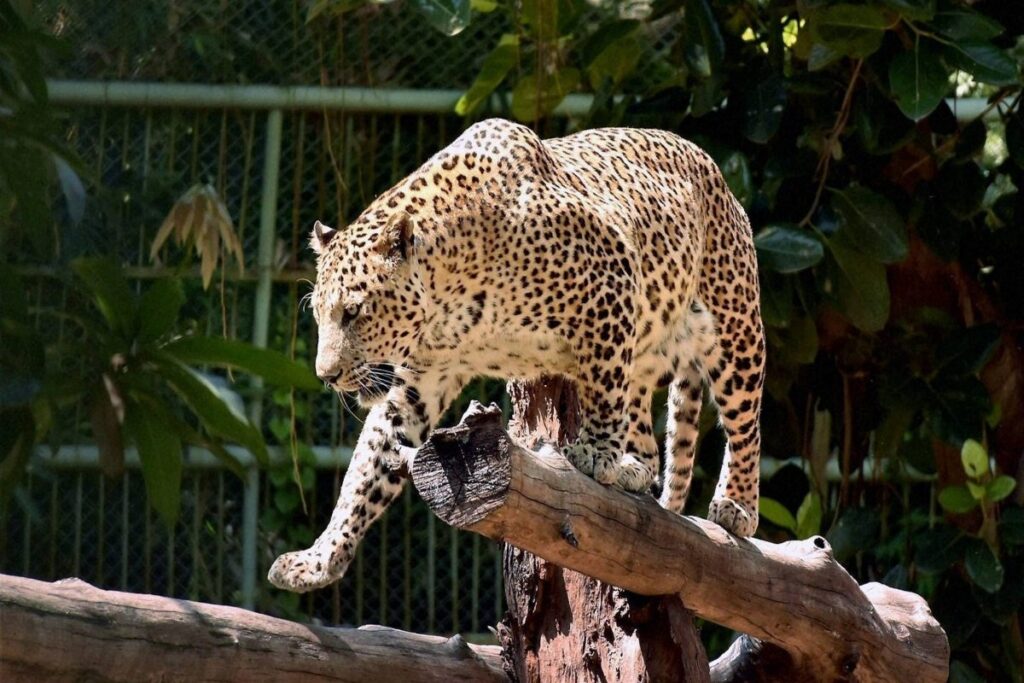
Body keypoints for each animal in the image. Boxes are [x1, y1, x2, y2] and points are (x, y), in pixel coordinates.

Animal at [268, 118, 765, 592]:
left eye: (354, 311)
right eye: (319, 314)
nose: (326, 375)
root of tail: (713, 169)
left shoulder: (612, 284)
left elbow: (603, 388)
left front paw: (596, 453)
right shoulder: (420, 380)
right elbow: (367, 469)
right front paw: (319, 559)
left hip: (735, 325)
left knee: (745, 423)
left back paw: (735, 504)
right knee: (644, 426)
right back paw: (633, 468)